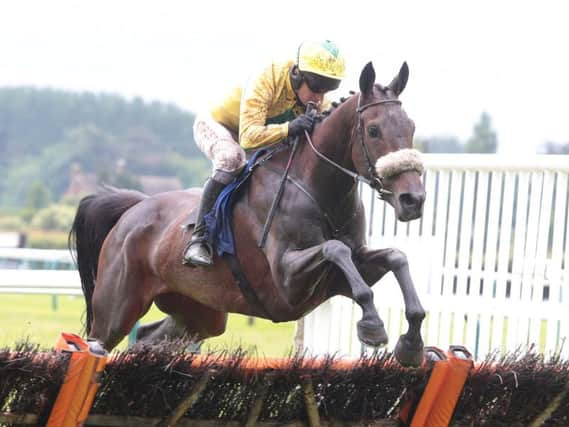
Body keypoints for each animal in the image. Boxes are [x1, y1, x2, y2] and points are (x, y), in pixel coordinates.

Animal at [69, 60, 426, 368]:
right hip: (116, 309)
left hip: (199, 313)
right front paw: (373, 326)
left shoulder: (343, 274)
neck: (320, 190)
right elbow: (335, 249)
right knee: (95, 343)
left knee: (147, 337)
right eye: (374, 130)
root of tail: (133, 210)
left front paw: (411, 344)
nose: (413, 200)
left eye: (411, 127)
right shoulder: (287, 280)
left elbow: (395, 257)